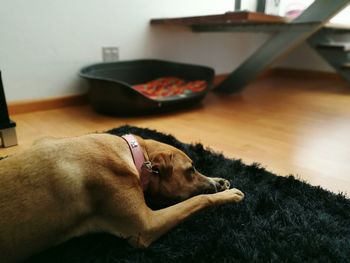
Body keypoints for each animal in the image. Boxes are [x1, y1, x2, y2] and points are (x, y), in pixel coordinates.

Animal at [0, 135, 245, 262]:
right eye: (190, 170)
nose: (214, 185)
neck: (135, 156)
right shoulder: (146, 226)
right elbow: (198, 200)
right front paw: (226, 194)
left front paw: (219, 181)